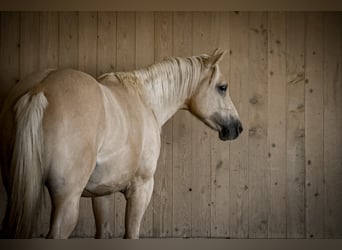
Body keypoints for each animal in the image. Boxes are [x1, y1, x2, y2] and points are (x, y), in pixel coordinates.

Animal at [0, 48, 243, 238]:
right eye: (223, 87)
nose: (237, 127)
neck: (146, 101)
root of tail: (39, 89)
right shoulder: (141, 188)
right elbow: (131, 233)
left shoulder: (101, 193)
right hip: (66, 200)